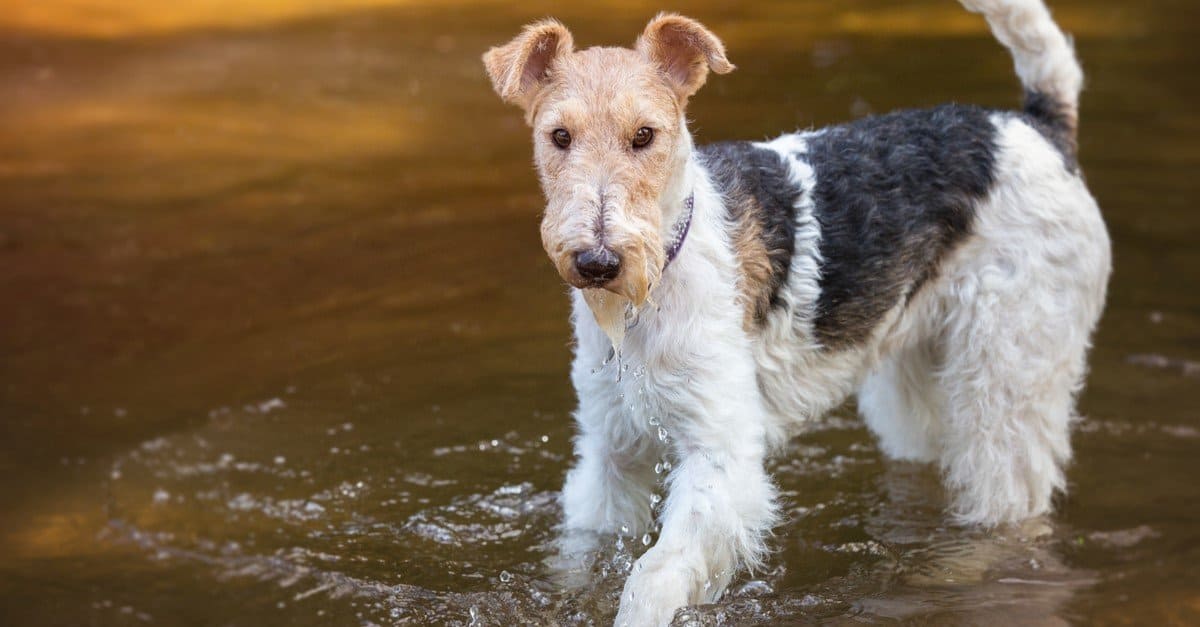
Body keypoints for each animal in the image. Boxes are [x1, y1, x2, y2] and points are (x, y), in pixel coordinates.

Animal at [482, 0, 1108, 619]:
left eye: (644, 135)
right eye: (559, 136)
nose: (598, 262)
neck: (656, 283)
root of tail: (1037, 128)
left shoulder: (720, 455)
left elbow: (651, 578)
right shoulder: (610, 452)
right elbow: (585, 549)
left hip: (1008, 380)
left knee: (1009, 500)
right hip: (915, 384)